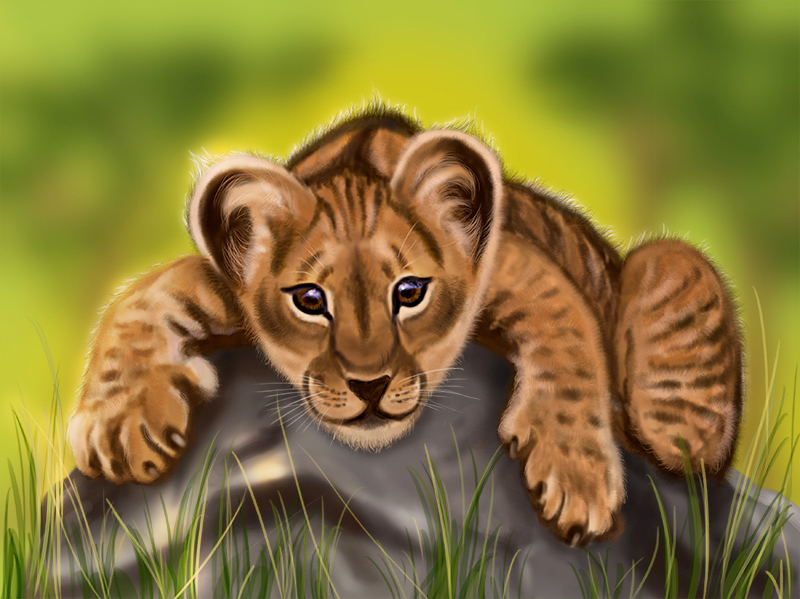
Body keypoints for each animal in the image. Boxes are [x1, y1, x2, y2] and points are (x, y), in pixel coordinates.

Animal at [67, 104, 742, 546]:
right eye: (309, 300)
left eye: (410, 293)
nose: (368, 386)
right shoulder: (224, 285)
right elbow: (149, 290)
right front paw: (117, 424)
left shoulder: (520, 264)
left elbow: (568, 330)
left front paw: (575, 477)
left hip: (664, 268)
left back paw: (671, 431)